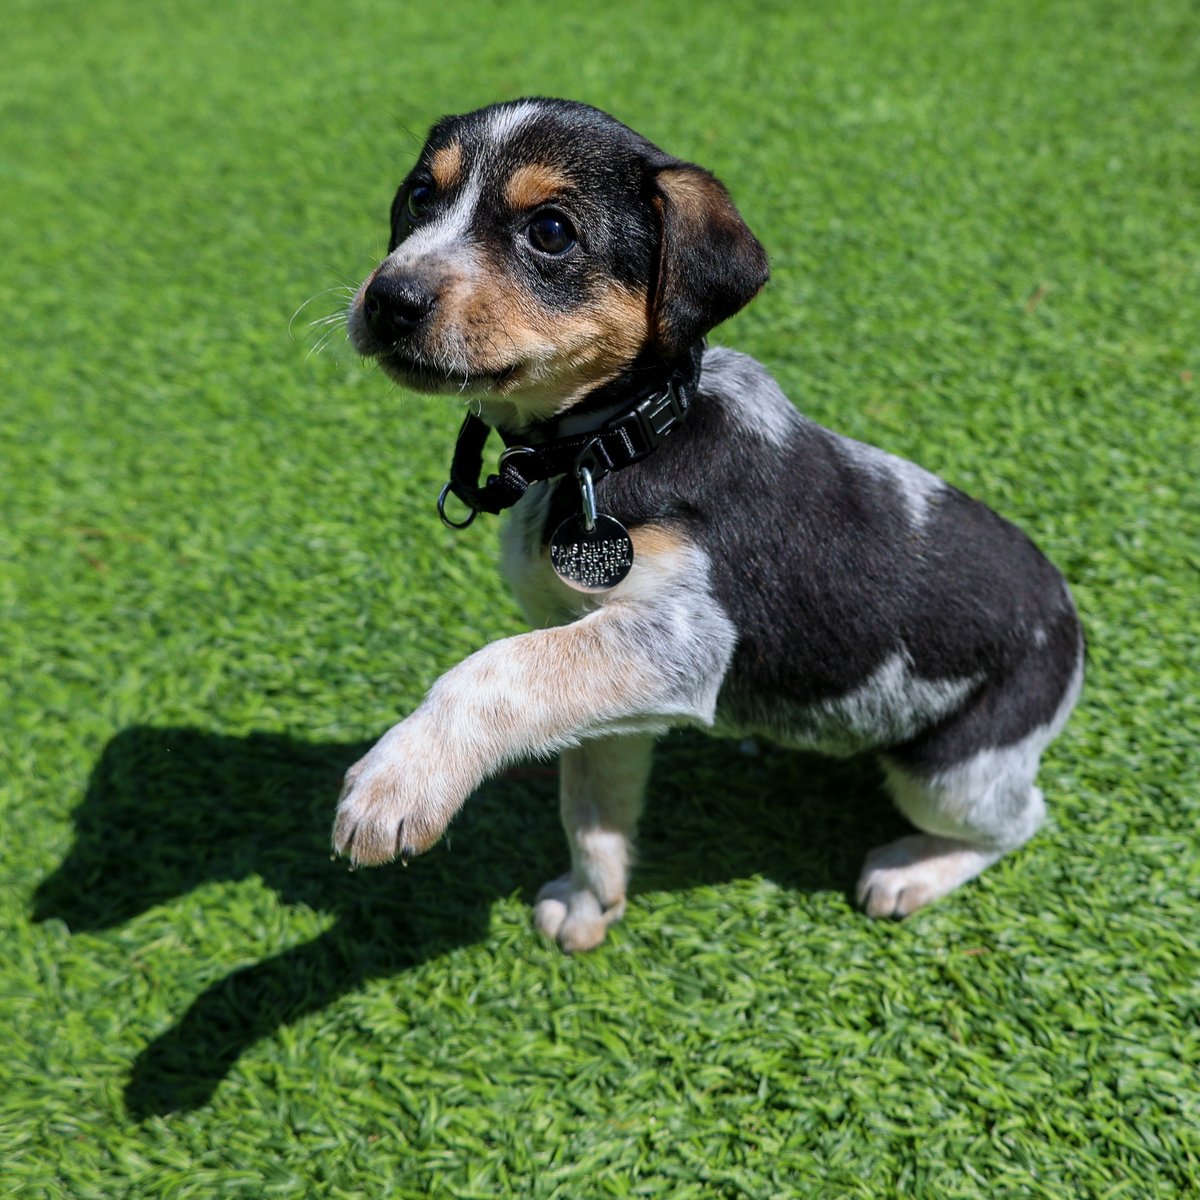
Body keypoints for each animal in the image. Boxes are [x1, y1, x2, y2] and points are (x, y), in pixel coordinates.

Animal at [331, 98, 1089, 950]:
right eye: (420, 198)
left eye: (551, 231)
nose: (388, 299)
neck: (609, 445)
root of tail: (1069, 620)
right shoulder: (601, 675)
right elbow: (589, 805)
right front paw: (591, 904)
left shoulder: (684, 639)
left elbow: (494, 670)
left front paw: (397, 782)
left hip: (950, 771)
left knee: (1020, 819)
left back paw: (910, 871)